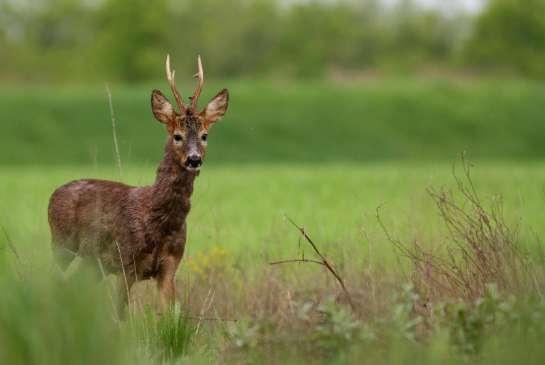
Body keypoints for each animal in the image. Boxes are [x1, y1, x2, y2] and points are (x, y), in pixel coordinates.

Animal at [47, 54, 228, 312]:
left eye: (205, 135)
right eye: (177, 136)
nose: (194, 159)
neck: (157, 219)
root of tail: (54, 193)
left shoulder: (169, 267)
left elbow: (169, 316)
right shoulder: (125, 263)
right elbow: (120, 315)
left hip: (91, 263)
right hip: (61, 244)